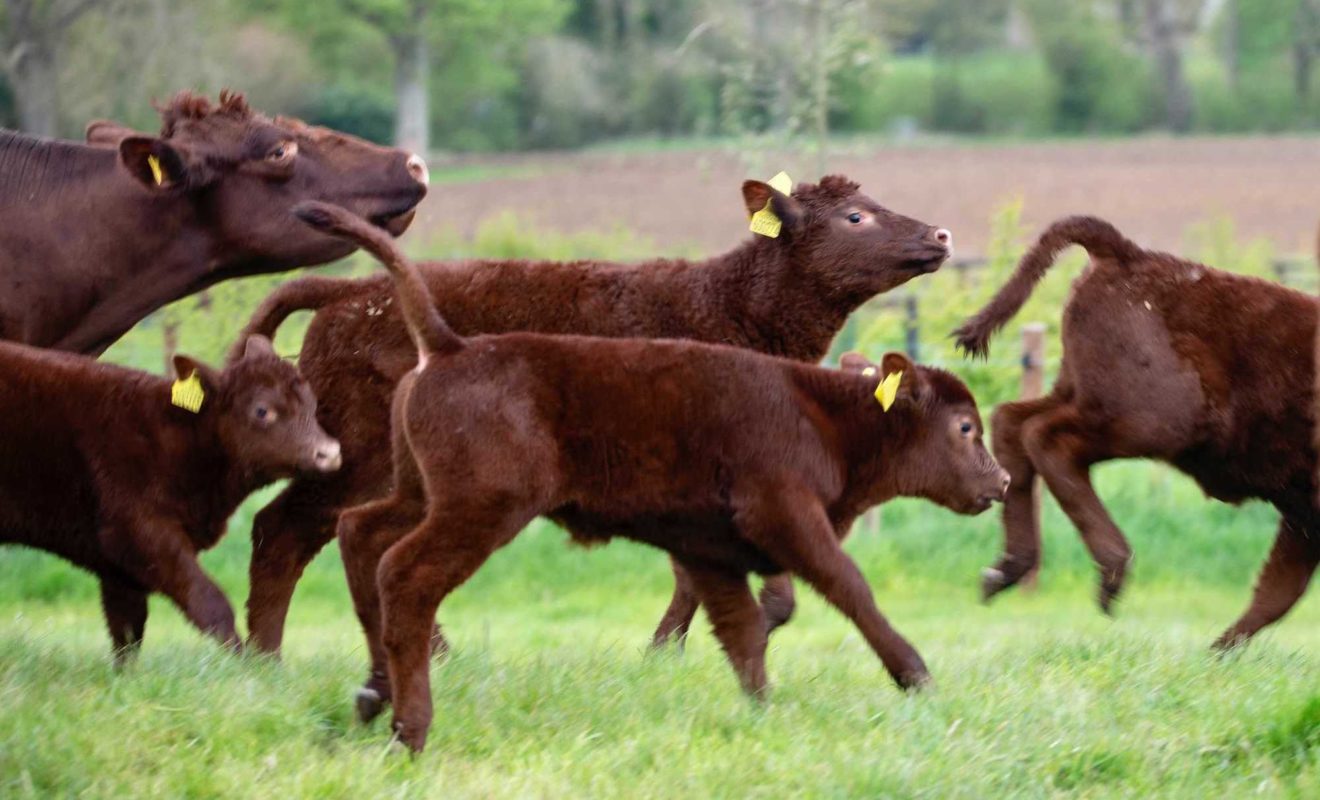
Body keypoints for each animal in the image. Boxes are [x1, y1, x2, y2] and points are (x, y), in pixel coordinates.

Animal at [0, 335, 345, 662]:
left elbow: (127, 630)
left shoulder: (117, 562)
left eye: (312, 403)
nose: (329, 453)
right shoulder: (141, 531)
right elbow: (209, 602)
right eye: (262, 410)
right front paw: (245, 666)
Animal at [237, 172, 955, 654]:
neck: (727, 306)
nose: (941, 233)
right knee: (286, 530)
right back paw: (268, 659)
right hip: (355, 453)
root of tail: (345, 292)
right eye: (856, 217)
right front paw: (662, 653)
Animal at [294, 203, 1003, 755]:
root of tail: (450, 346)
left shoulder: (712, 552)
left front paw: (763, 711)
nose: (998, 484)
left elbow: (744, 631)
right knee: (405, 575)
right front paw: (917, 677)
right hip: (479, 510)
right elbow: (848, 590)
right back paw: (409, 730)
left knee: (363, 534)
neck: (826, 415)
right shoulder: (787, 519)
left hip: (419, 496)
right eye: (966, 427)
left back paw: (372, 697)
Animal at [955, 216, 1320, 649]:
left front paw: (1216, 652)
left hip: (1081, 395)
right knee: (1045, 437)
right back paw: (1111, 574)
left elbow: (1279, 590)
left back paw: (1004, 571)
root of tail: (1130, 256)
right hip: (1153, 422)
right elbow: (1282, 589)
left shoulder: (1302, 513)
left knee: (1011, 419)